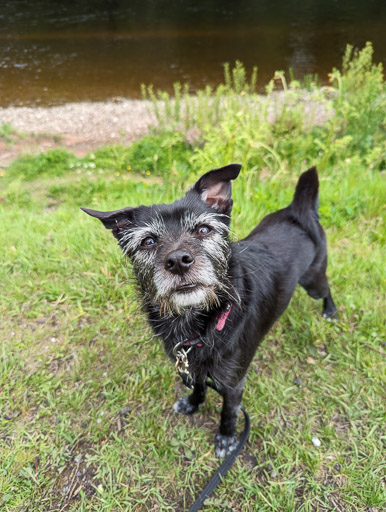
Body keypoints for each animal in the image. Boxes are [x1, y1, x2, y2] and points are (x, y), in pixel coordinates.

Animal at [81, 164, 334, 456]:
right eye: (147, 241)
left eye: (203, 229)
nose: (178, 261)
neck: (198, 322)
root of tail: (296, 210)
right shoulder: (192, 367)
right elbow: (199, 387)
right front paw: (193, 403)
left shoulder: (234, 384)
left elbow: (229, 412)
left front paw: (226, 438)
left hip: (314, 281)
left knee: (327, 288)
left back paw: (330, 311)